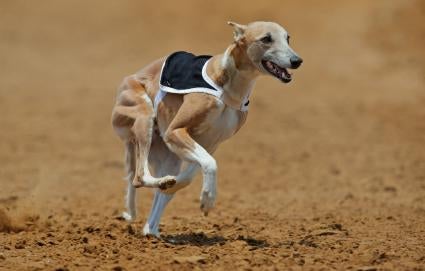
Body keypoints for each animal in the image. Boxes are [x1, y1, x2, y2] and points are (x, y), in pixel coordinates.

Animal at [109, 21, 302, 238]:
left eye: (288, 38)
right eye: (266, 39)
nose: (297, 61)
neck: (229, 87)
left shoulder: (211, 143)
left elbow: (194, 173)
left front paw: (181, 187)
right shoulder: (175, 131)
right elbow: (210, 164)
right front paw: (208, 200)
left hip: (168, 155)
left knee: (157, 193)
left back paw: (154, 227)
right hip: (145, 117)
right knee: (139, 177)